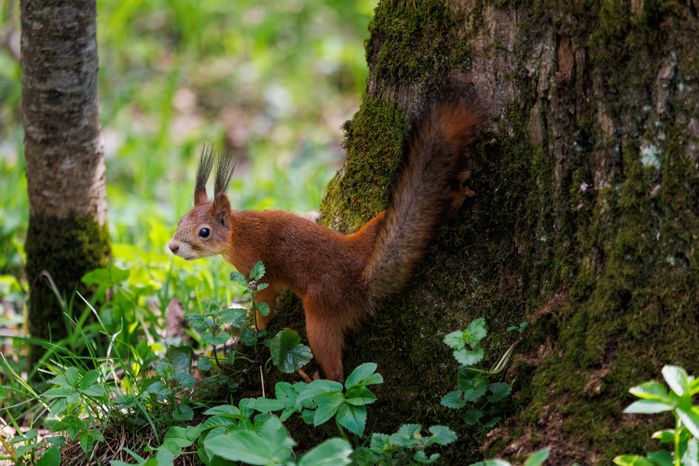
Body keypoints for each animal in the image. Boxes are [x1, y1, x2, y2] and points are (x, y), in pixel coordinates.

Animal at [168, 97, 482, 381]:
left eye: (204, 232)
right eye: (180, 220)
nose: (172, 247)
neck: (240, 232)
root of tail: (360, 281)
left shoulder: (258, 270)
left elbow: (265, 303)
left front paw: (254, 330)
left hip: (321, 314)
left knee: (335, 367)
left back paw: (318, 380)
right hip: (376, 228)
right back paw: (457, 193)